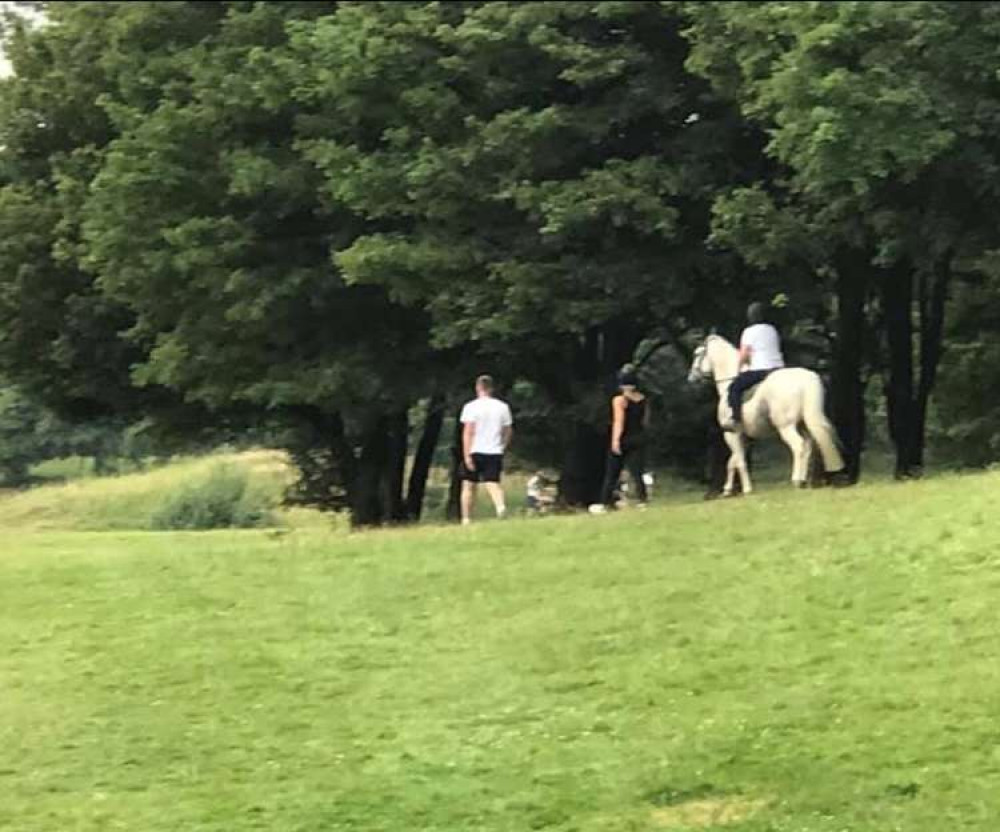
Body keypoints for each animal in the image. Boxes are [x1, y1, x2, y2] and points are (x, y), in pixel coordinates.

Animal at [692, 336, 848, 494]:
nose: (691, 377)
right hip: (803, 424)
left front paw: (747, 489)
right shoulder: (744, 437)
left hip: (786, 426)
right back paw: (804, 480)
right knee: (808, 447)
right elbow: (732, 462)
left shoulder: (731, 434)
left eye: (697, 354)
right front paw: (727, 489)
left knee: (798, 446)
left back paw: (797, 480)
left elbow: (739, 461)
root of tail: (806, 379)